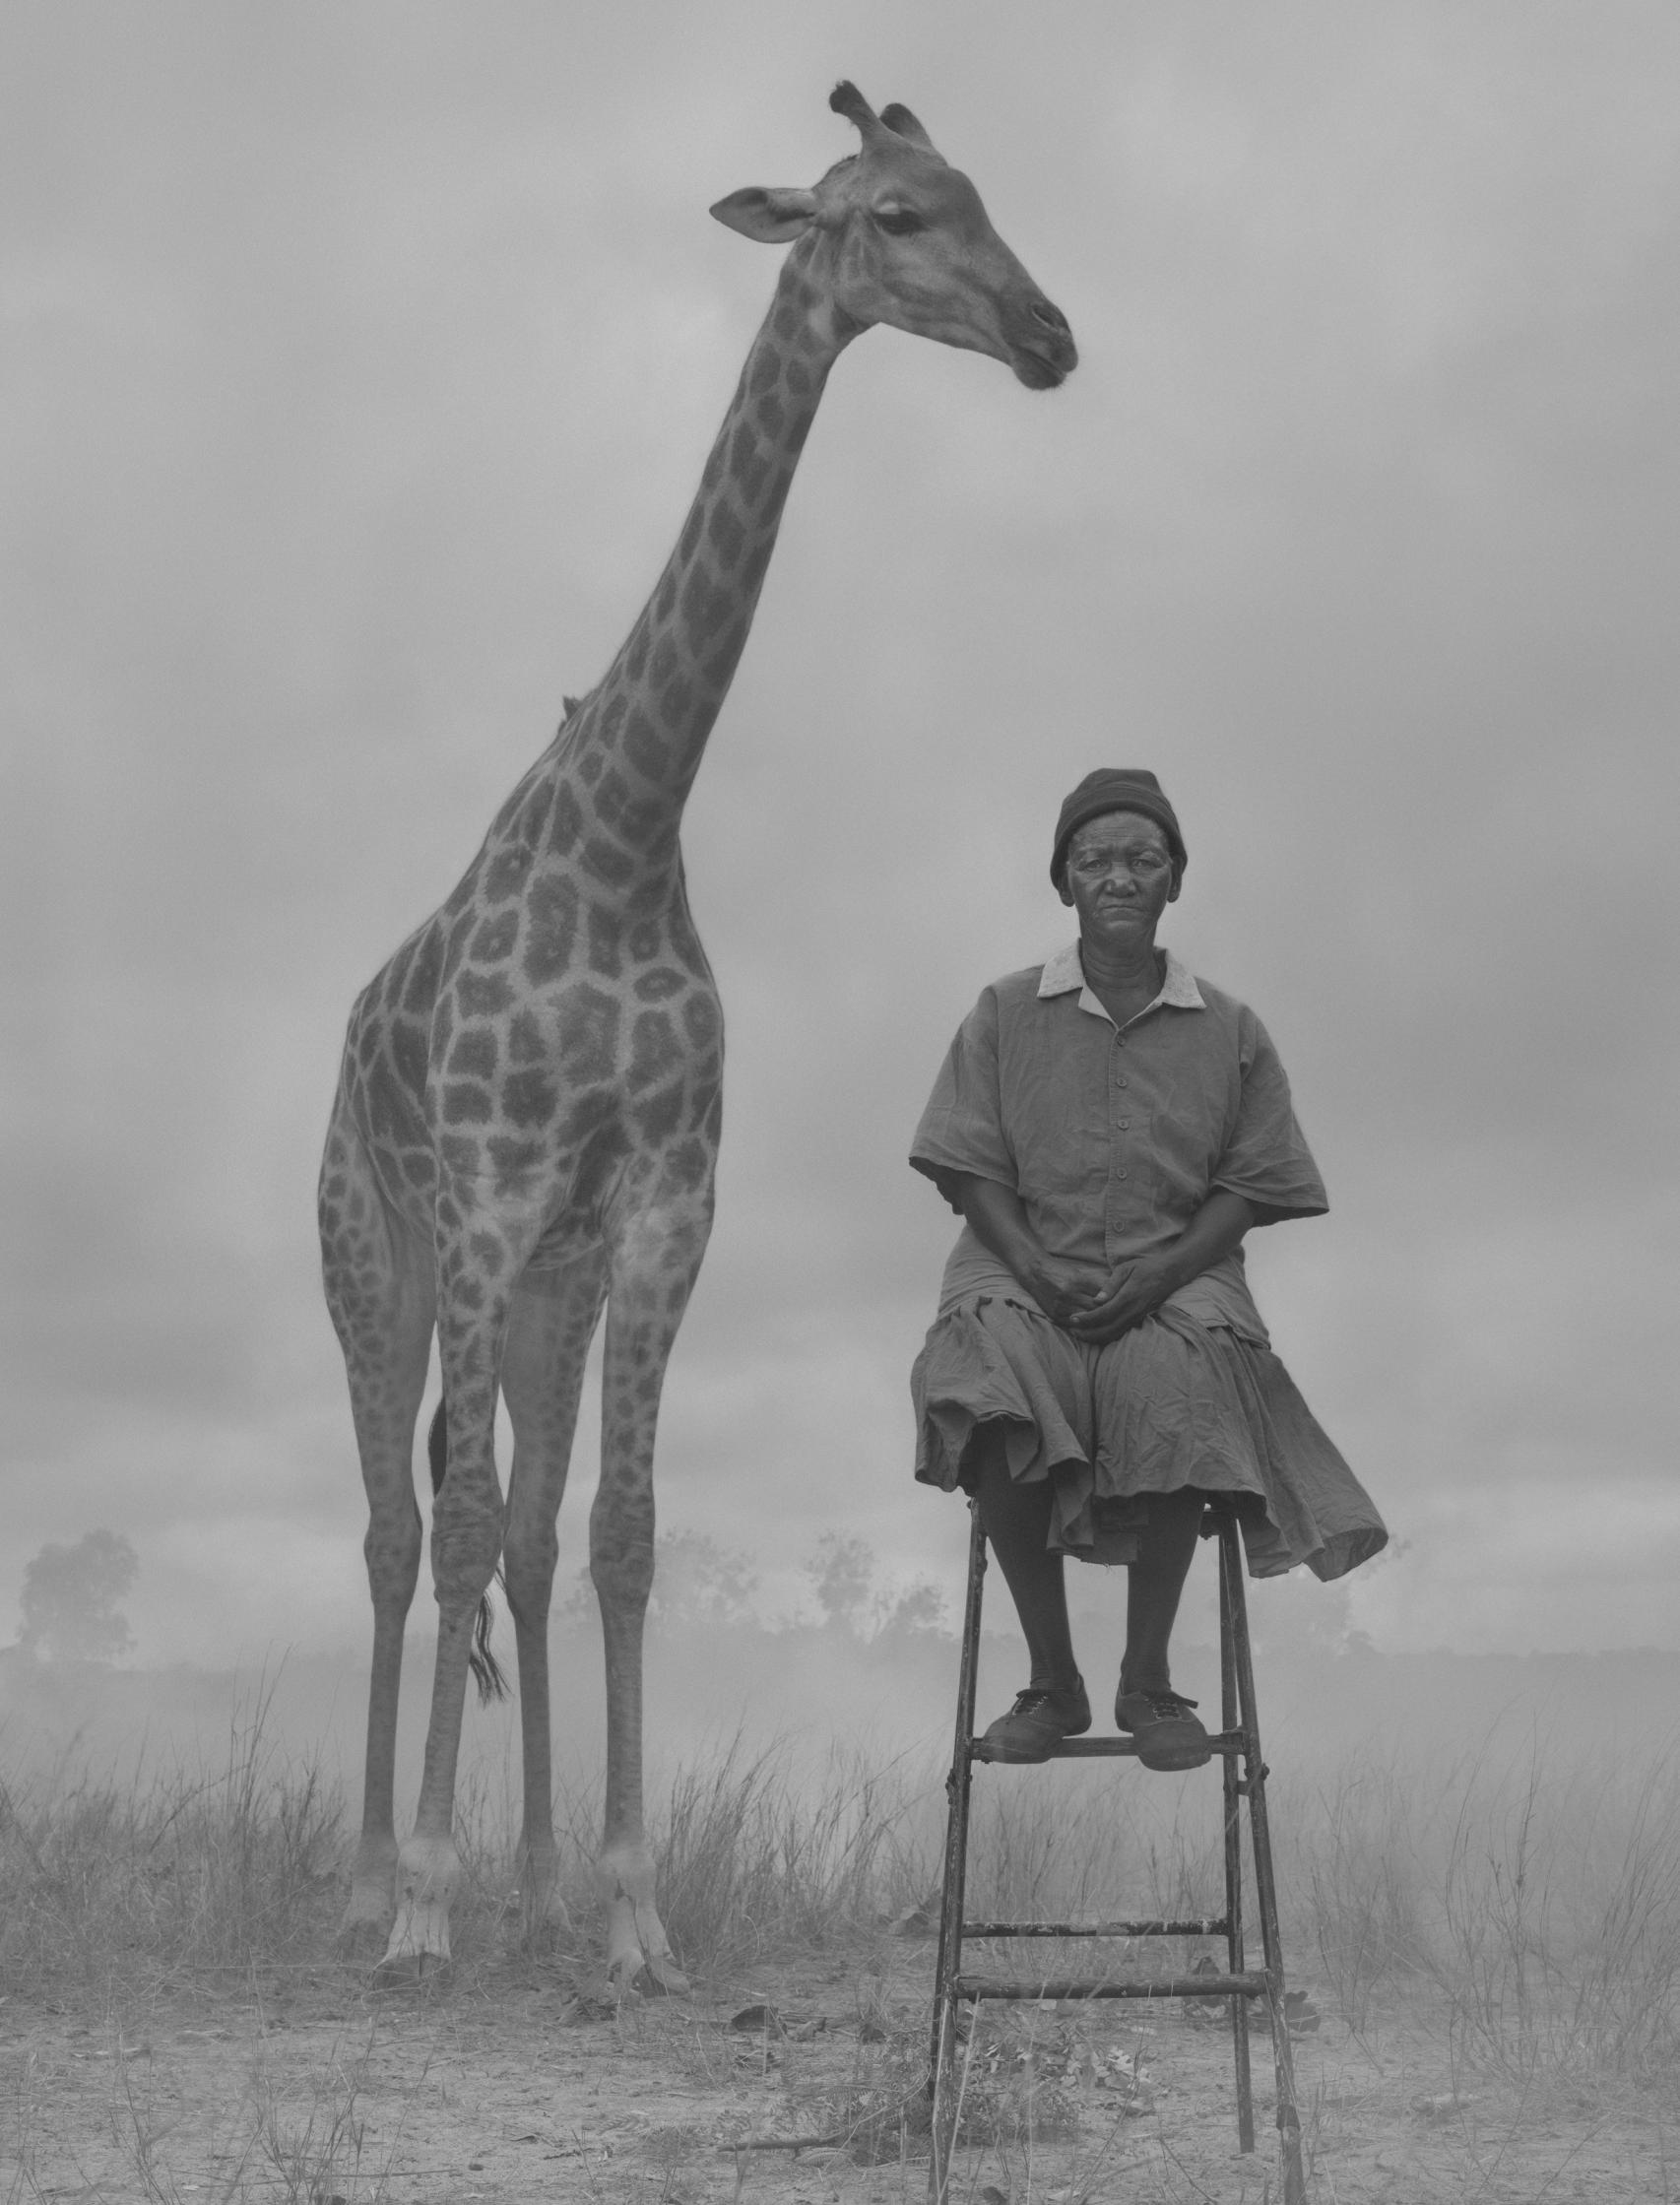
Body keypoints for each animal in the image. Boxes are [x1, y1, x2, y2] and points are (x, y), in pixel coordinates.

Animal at [317, 81, 1071, 1984]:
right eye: (891, 215)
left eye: (985, 195)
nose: (1050, 337)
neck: (625, 832)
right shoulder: (492, 1198)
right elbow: (448, 1522)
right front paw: (424, 1900)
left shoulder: (660, 1207)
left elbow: (621, 1533)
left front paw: (627, 1908)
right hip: (376, 1256)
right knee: (393, 1528)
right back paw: (367, 1886)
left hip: (549, 1289)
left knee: (517, 1532)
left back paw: (523, 1880)